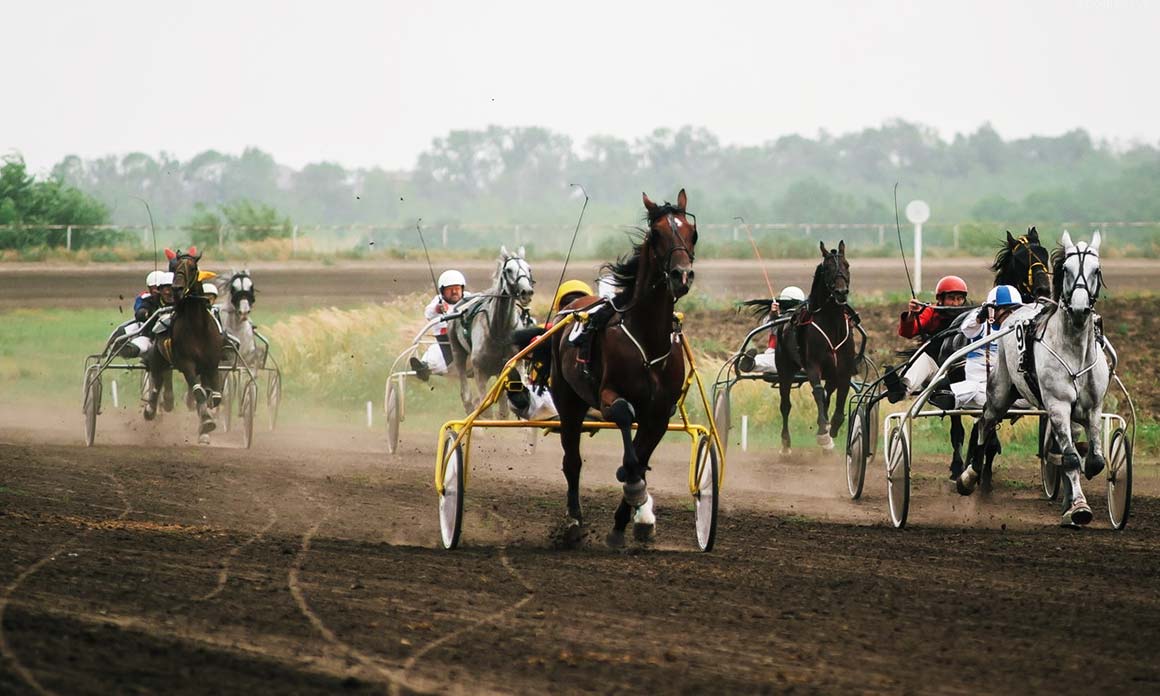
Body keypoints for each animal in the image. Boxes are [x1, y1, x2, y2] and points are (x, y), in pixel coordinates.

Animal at [143, 250, 223, 443]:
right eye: (175, 267)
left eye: (193, 267)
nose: (177, 288)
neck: (198, 328)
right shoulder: (187, 363)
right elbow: (198, 392)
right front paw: (207, 421)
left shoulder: (212, 365)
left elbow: (214, 396)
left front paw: (205, 424)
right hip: (158, 358)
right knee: (157, 381)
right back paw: (151, 409)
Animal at [447, 245, 533, 412]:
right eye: (509, 270)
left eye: (529, 268)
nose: (527, 292)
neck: (501, 330)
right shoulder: (480, 371)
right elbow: (484, 406)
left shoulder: (515, 365)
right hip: (458, 352)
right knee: (466, 395)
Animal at [552, 187, 696, 547]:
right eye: (656, 233)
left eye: (692, 232)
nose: (682, 275)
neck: (648, 339)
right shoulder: (609, 394)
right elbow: (623, 419)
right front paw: (633, 487)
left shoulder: (659, 413)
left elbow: (642, 460)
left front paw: (630, 521)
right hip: (568, 401)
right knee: (572, 461)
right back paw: (574, 521)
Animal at [774, 242, 858, 454]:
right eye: (827, 268)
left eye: (847, 264)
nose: (841, 292)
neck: (832, 324)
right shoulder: (813, 364)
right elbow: (818, 393)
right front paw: (822, 433)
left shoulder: (843, 368)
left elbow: (840, 396)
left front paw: (832, 429)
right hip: (785, 369)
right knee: (785, 404)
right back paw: (786, 443)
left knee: (828, 395)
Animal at [955, 230, 1108, 524]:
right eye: (1067, 269)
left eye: (1096, 269)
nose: (1080, 308)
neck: (1074, 349)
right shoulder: (1057, 405)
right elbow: (1071, 458)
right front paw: (1079, 507)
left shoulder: (1093, 407)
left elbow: (1094, 460)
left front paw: (1072, 501)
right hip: (999, 392)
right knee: (984, 424)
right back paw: (968, 477)